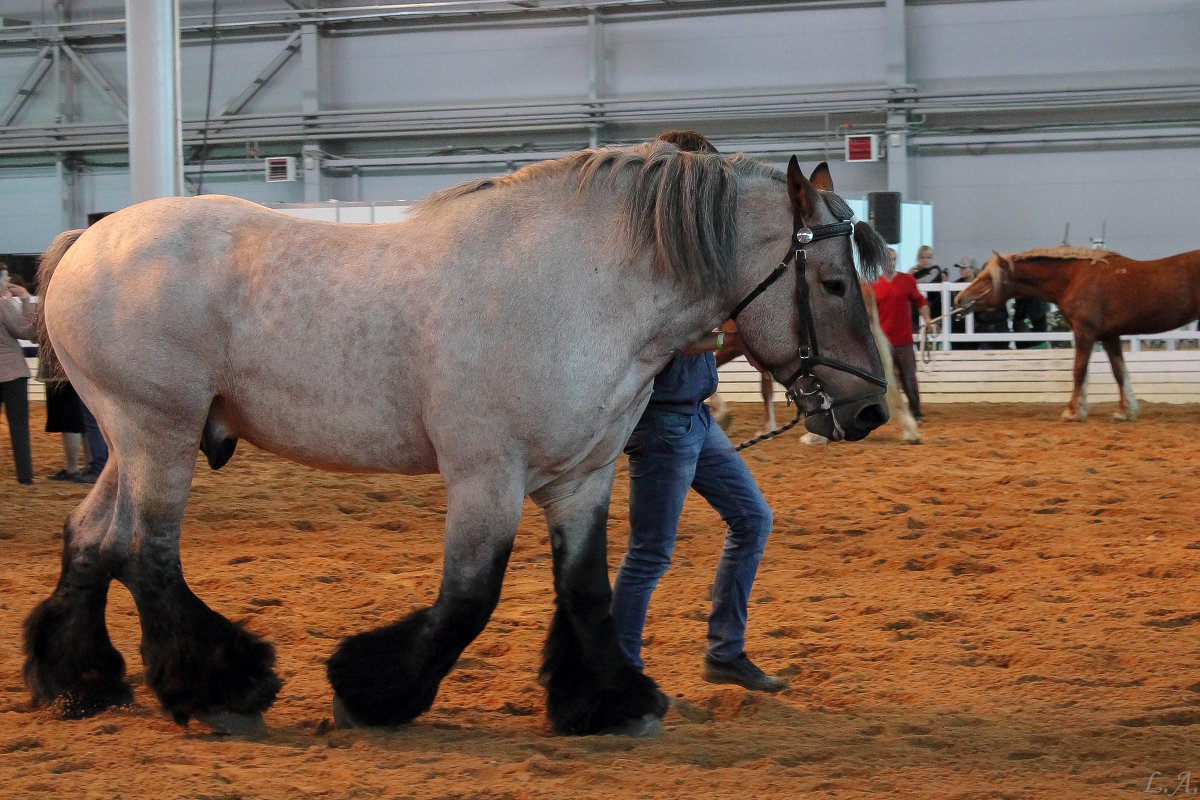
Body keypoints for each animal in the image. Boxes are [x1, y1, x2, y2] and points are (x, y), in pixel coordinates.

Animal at [21, 142, 892, 738]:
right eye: (833, 284)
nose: (869, 413)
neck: (579, 287)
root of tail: (86, 245)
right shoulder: (486, 476)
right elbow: (470, 597)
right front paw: (369, 691)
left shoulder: (581, 478)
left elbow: (586, 589)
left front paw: (608, 700)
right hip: (158, 434)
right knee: (148, 554)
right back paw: (220, 688)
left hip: (131, 438)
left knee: (92, 539)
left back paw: (79, 678)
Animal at [955, 247, 1200, 422]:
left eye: (988, 278)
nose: (959, 299)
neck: (1074, 278)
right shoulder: (1110, 336)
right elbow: (1119, 372)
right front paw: (1125, 412)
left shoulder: (1085, 332)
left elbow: (1079, 370)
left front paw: (1073, 412)